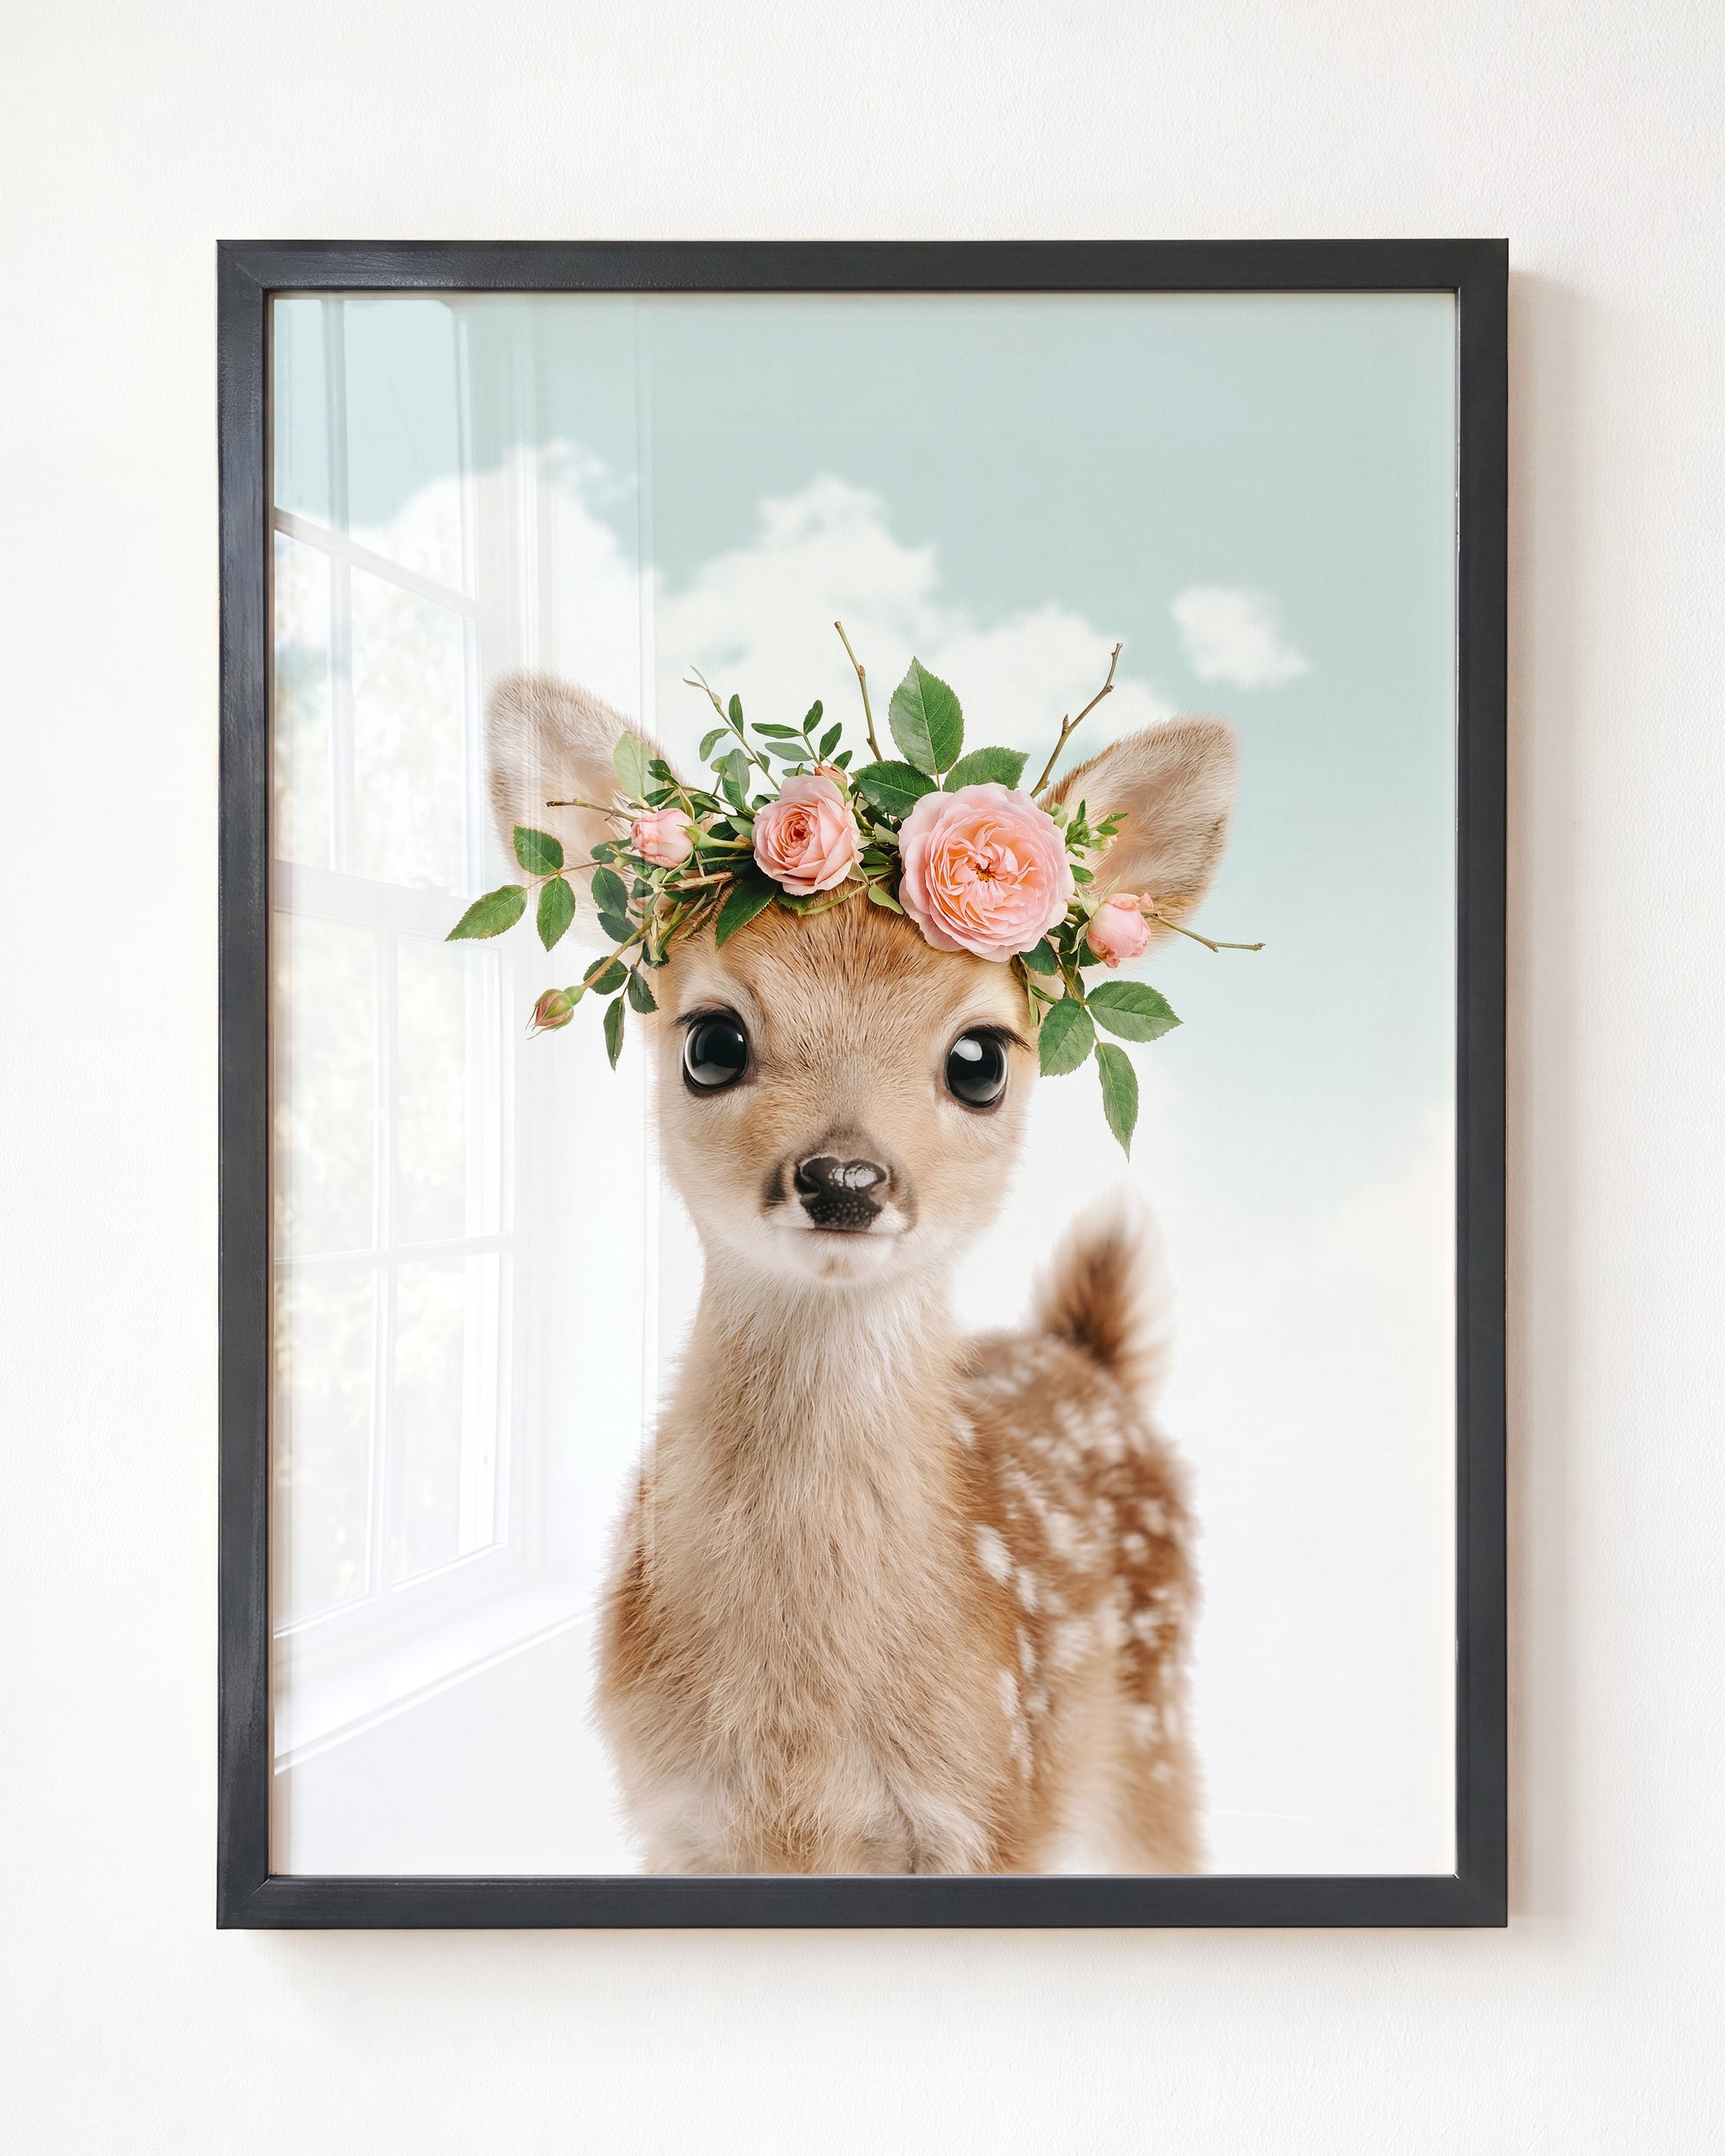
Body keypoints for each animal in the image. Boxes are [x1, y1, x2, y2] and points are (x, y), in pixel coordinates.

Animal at [486, 669, 1239, 1874]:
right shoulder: (677, 1818)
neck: (802, 1735)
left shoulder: (993, 1805)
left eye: (980, 1059)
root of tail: (1087, 1356)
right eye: (711, 1042)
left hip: (1149, 1729)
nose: (843, 1177)